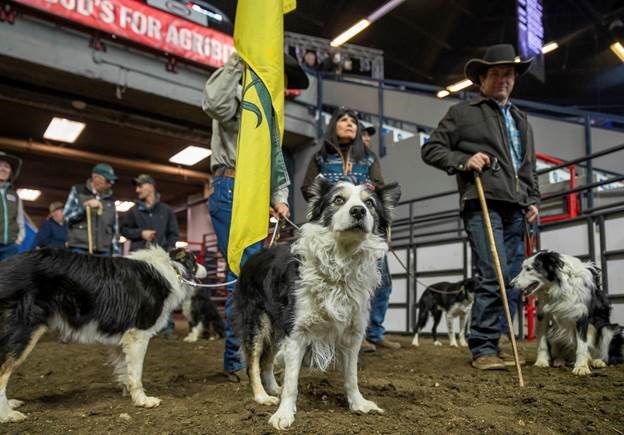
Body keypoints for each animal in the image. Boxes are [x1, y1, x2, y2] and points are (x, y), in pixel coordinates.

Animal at [0, 245, 207, 422]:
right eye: (195, 261)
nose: (206, 271)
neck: (172, 267)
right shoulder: (138, 335)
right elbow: (136, 373)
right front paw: (143, 400)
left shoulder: (122, 338)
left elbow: (125, 370)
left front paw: (129, 394)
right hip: (25, 331)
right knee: (2, 372)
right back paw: (8, 415)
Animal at [233, 178, 400, 432]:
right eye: (338, 200)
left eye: (369, 203)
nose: (358, 211)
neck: (341, 259)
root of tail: (252, 259)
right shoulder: (297, 332)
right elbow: (292, 381)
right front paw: (283, 414)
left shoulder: (352, 335)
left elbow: (351, 377)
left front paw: (359, 404)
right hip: (258, 323)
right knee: (253, 363)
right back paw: (262, 396)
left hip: (277, 326)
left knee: (267, 361)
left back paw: (273, 388)